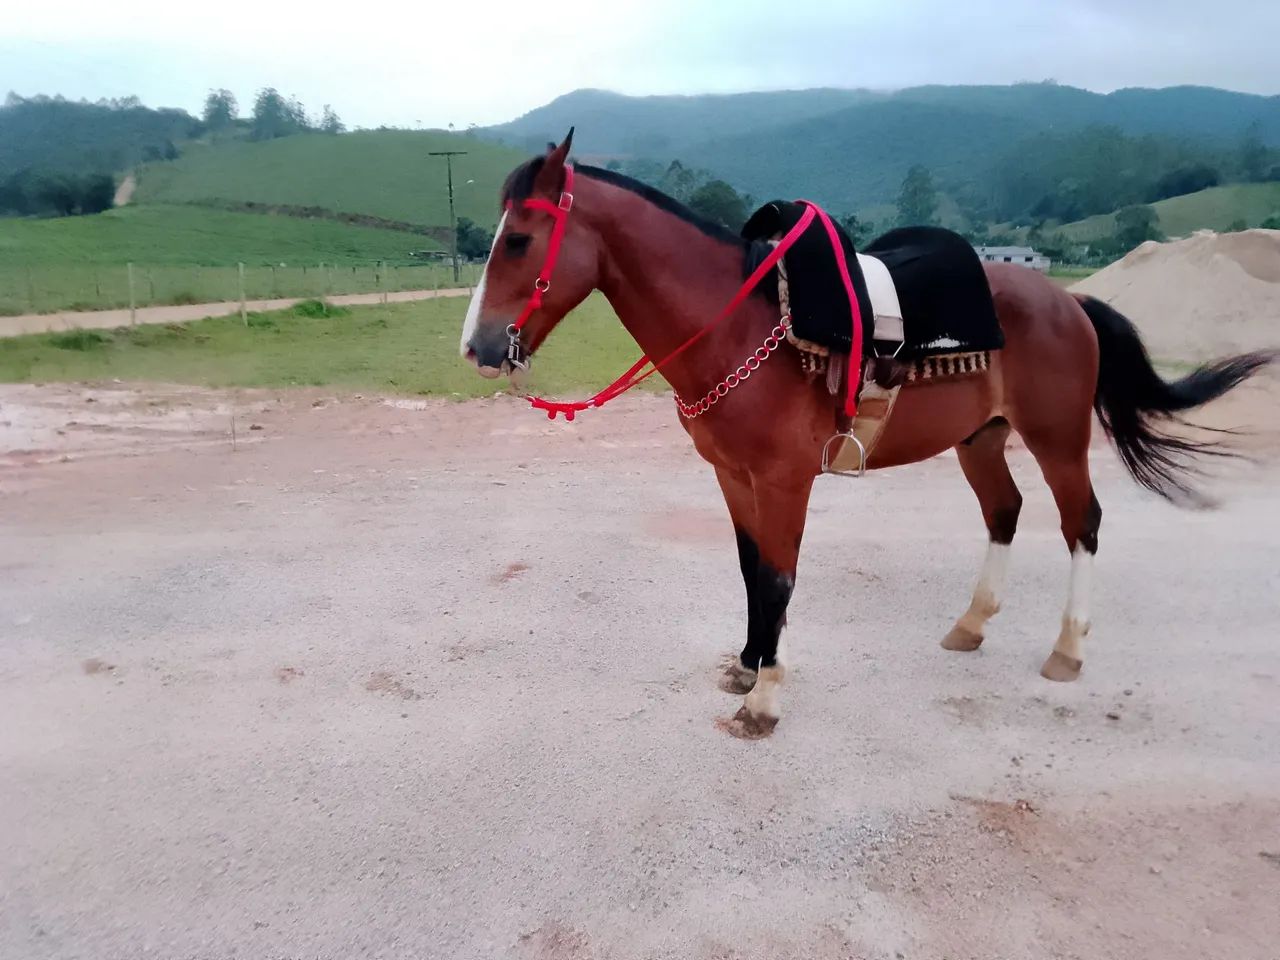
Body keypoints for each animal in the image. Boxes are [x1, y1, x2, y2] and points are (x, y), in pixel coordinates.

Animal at [459, 131, 1274, 739]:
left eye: (521, 240)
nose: (477, 346)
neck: (746, 327)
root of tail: (1069, 302)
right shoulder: (734, 477)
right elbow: (752, 570)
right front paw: (750, 663)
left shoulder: (784, 479)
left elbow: (779, 577)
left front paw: (765, 698)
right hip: (982, 438)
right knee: (1004, 512)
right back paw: (971, 625)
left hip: (1057, 438)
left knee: (1083, 523)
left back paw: (1067, 649)